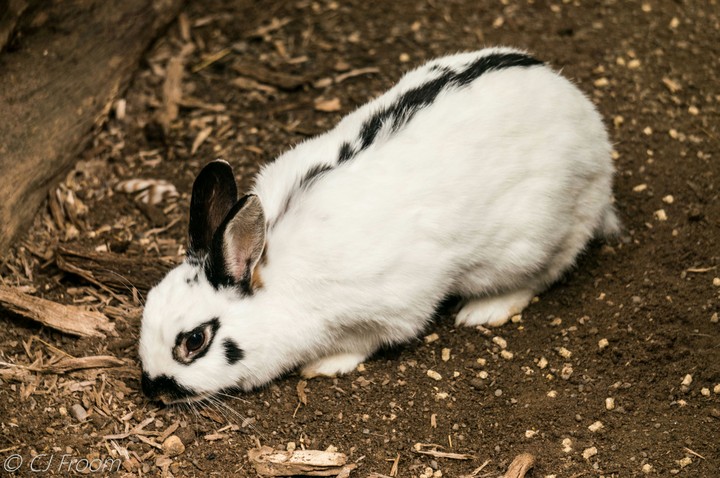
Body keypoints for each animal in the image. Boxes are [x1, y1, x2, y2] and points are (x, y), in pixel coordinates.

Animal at [139, 46, 618, 404]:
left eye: (195, 340)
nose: (152, 389)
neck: (273, 277)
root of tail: (591, 132)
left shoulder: (393, 306)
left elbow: (368, 340)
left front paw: (324, 365)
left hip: (530, 241)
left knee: (543, 273)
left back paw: (483, 310)